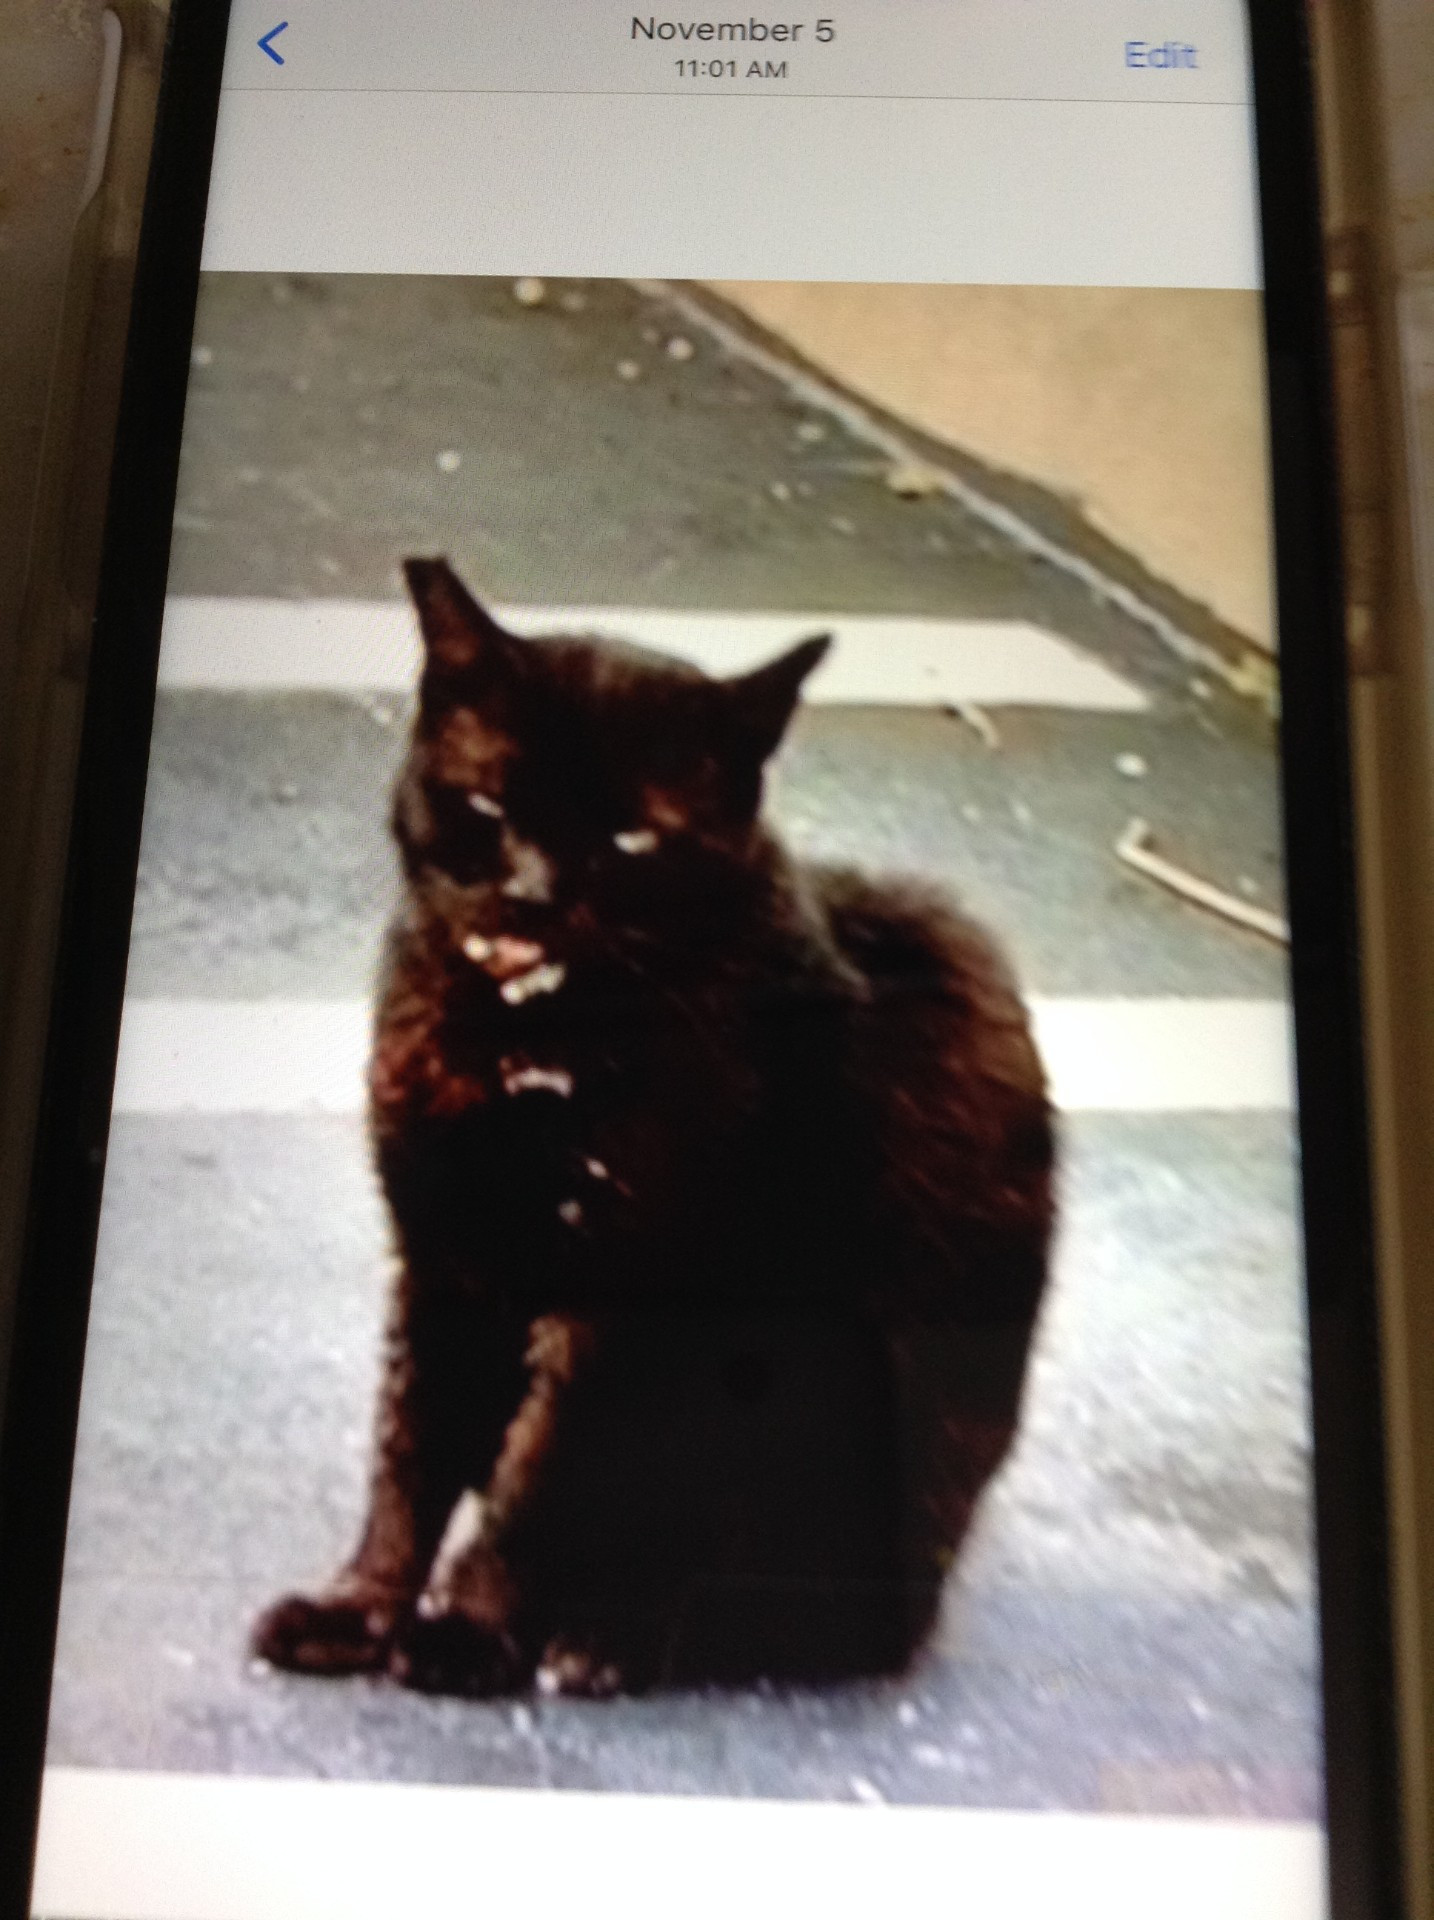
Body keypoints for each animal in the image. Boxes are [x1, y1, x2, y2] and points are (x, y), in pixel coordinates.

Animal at [252, 557, 1054, 1698]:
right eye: (489, 803)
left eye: (632, 837)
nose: (533, 894)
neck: (526, 1045)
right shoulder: (445, 1254)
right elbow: (409, 1455)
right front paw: (359, 1611)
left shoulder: (626, 1288)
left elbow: (542, 1471)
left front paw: (467, 1631)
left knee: (825, 1627)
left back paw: (610, 1641)